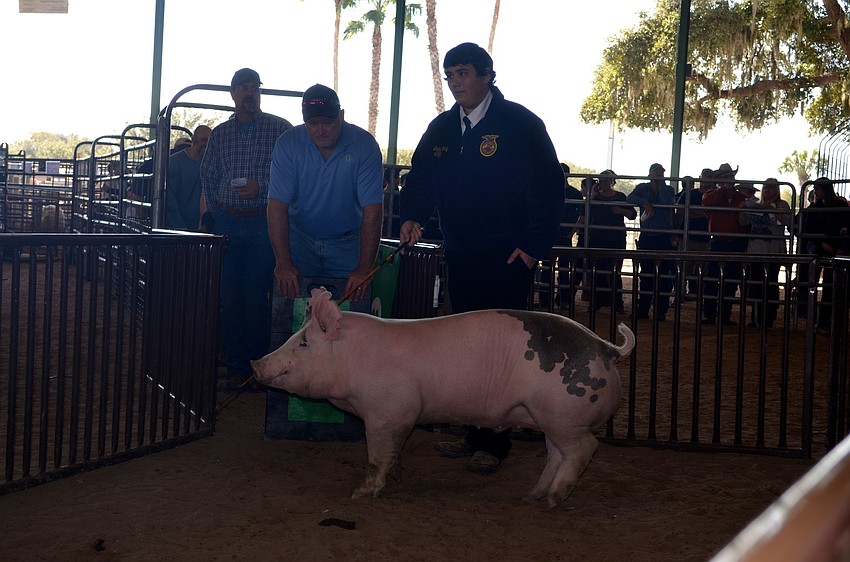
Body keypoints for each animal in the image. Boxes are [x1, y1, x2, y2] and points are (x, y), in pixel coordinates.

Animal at [252, 288, 635, 507]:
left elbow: (377, 455)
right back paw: (531, 496)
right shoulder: (397, 415)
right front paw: (398, 475)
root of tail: (607, 347)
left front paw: (361, 494)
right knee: (555, 454)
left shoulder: (388, 412)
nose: (256, 363)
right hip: (548, 417)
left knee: (583, 449)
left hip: (563, 415)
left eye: (304, 343)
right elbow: (394, 452)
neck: (354, 358)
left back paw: (554, 500)